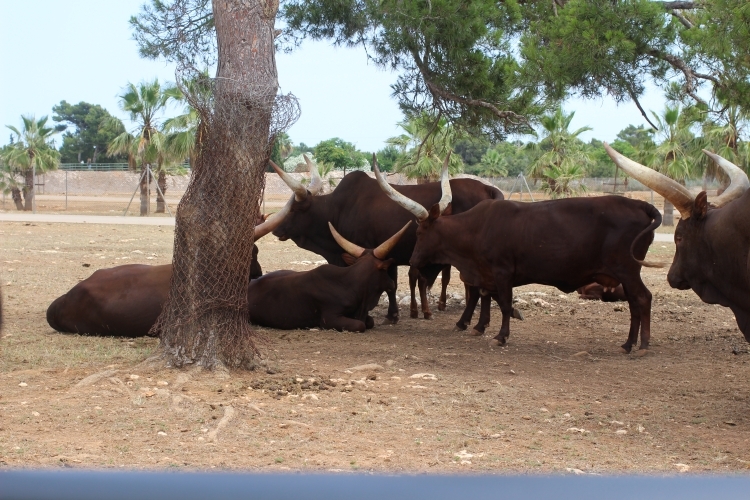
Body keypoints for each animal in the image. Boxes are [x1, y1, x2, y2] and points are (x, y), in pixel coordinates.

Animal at [378, 166, 668, 354]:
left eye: (419, 233)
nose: (414, 260)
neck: (476, 227)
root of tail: (642, 205)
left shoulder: (502, 272)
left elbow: (505, 304)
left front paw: (500, 336)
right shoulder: (487, 275)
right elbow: (486, 296)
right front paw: (480, 327)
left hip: (628, 270)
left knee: (642, 299)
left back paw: (641, 345)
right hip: (625, 274)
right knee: (635, 303)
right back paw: (629, 343)